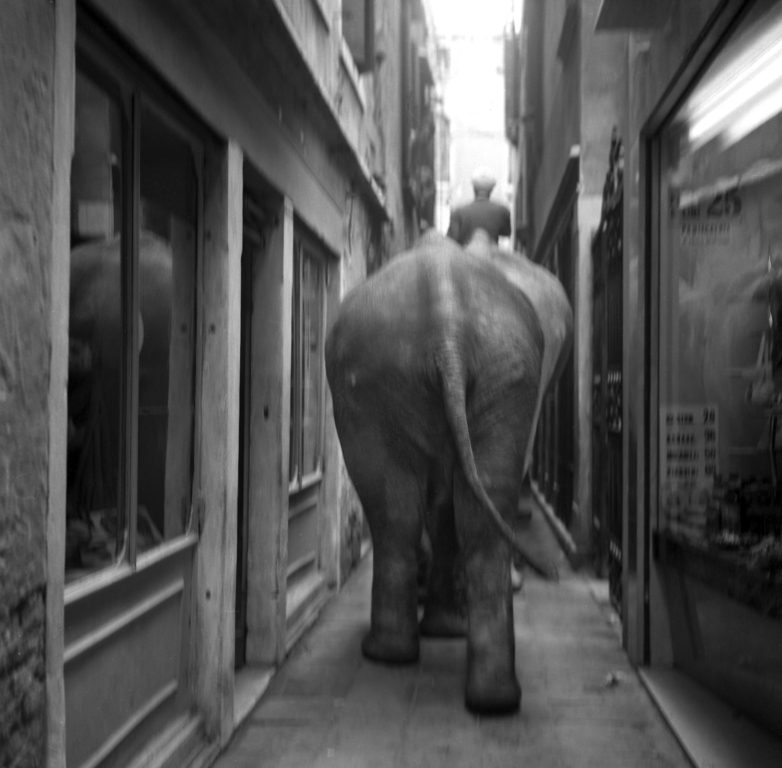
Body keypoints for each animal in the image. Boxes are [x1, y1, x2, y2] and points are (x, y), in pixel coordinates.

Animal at [324, 228, 576, 712]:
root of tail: (448, 320)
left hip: (443, 371)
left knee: (400, 510)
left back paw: (398, 654)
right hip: (490, 369)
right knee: (453, 508)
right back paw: (486, 694)